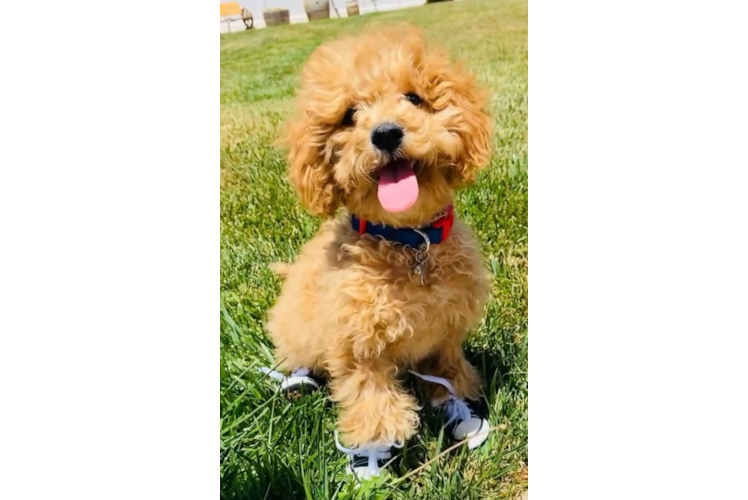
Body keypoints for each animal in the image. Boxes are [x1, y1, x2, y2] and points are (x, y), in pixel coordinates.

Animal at [266, 24, 494, 480]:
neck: (409, 242)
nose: (386, 133)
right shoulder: (355, 342)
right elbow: (368, 393)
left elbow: (447, 367)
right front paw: (376, 446)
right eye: (349, 116)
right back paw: (298, 381)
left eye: (414, 98)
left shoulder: (445, 331)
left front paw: (458, 402)